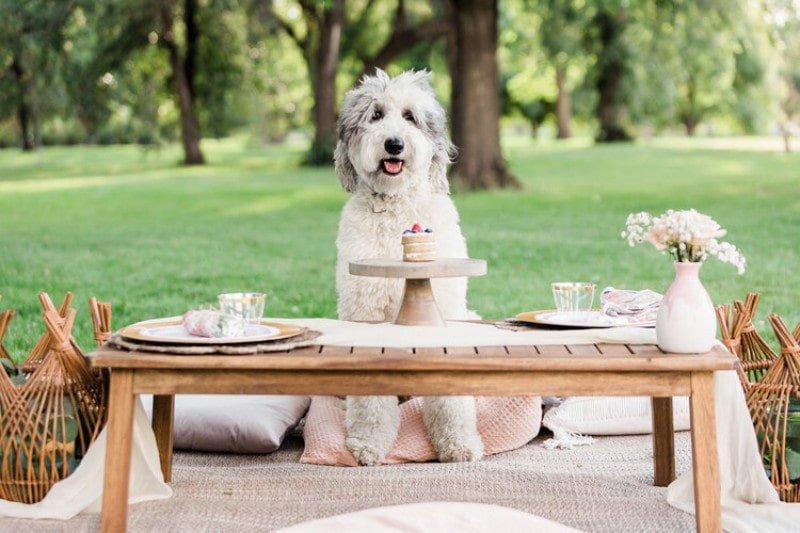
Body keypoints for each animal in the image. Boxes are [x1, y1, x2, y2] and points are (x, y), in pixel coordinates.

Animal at [332, 68, 482, 464]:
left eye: (410, 117)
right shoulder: (365, 308)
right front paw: (369, 442)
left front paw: (458, 441)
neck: (395, 205)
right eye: (376, 115)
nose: (395, 144)